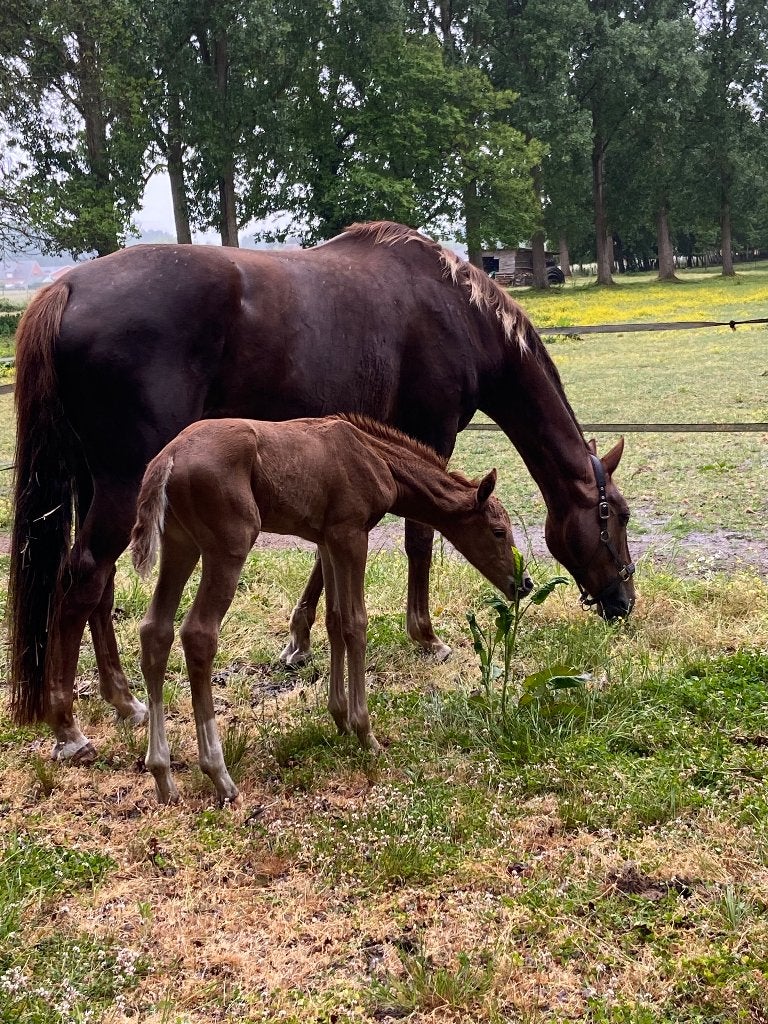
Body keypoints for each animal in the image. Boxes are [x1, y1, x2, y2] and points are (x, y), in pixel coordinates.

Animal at [9, 221, 635, 763]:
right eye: (616, 517)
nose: (624, 602)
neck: (458, 312)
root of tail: (64, 287)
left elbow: (324, 559)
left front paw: (299, 640)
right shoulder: (428, 438)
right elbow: (419, 541)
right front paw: (426, 637)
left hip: (103, 486)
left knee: (101, 586)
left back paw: (123, 700)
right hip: (123, 483)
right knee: (82, 576)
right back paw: (68, 728)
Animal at [130, 414, 527, 804]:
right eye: (498, 531)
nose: (524, 584)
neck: (375, 456)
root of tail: (168, 457)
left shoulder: (327, 539)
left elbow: (334, 620)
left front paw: (340, 719)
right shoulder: (350, 534)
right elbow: (355, 623)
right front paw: (365, 733)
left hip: (179, 544)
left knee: (155, 630)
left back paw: (163, 776)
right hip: (228, 546)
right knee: (198, 634)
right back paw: (219, 774)